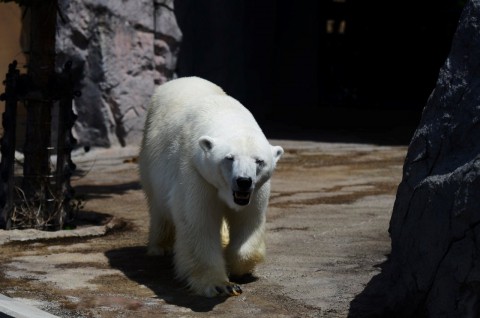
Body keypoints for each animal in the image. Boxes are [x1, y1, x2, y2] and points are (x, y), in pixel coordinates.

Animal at [137, 76, 284, 298]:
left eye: (259, 161)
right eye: (229, 158)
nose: (243, 181)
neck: (224, 112)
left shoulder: (256, 191)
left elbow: (248, 220)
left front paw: (236, 267)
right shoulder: (195, 172)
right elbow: (199, 223)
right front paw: (220, 284)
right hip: (150, 159)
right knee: (159, 206)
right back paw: (160, 247)